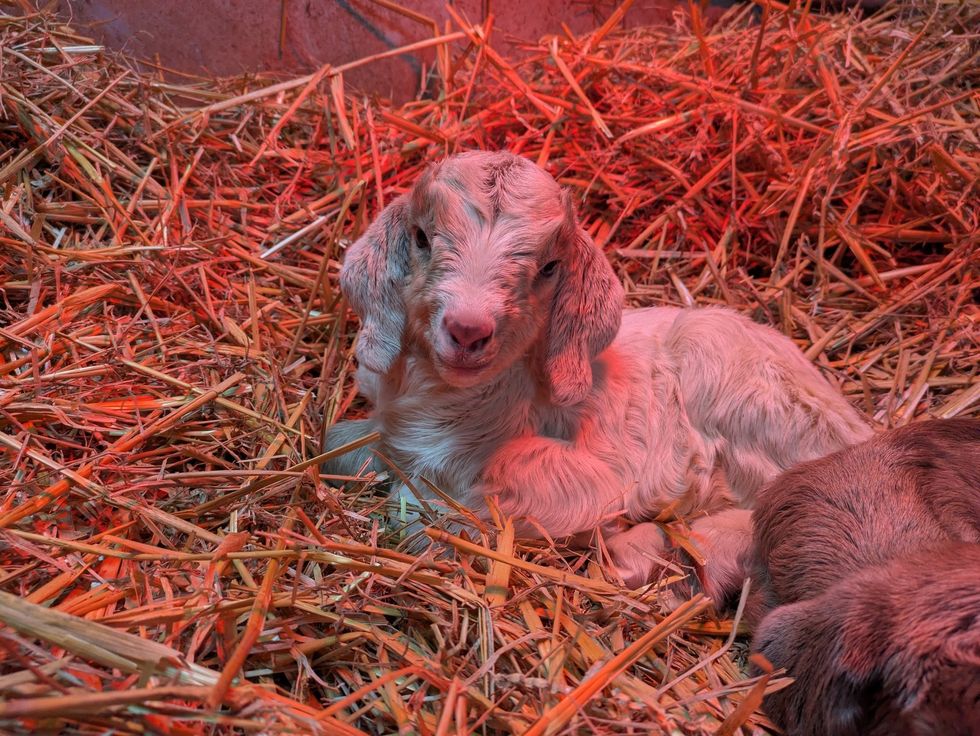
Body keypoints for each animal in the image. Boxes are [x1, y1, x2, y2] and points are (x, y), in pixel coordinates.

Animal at [325, 150, 872, 591]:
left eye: (549, 268)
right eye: (420, 237)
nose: (468, 329)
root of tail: (860, 428)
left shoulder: (597, 475)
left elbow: (437, 505)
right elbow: (339, 442)